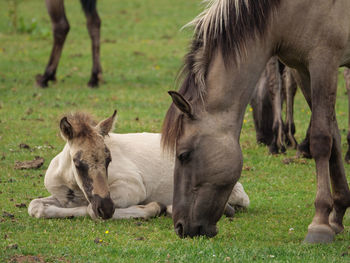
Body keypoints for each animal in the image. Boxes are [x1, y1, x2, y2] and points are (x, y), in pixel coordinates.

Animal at [28, 111, 250, 221]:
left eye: (109, 159)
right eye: (77, 162)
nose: (106, 208)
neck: (72, 185)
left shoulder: (133, 187)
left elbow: (91, 210)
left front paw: (153, 208)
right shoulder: (64, 197)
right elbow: (35, 206)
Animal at [163, 0, 350, 245]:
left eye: (183, 155)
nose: (180, 227)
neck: (290, 10)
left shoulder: (324, 61)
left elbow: (321, 139)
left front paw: (320, 223)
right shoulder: (302, 69)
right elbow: (334, 137)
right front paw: (337, 216)